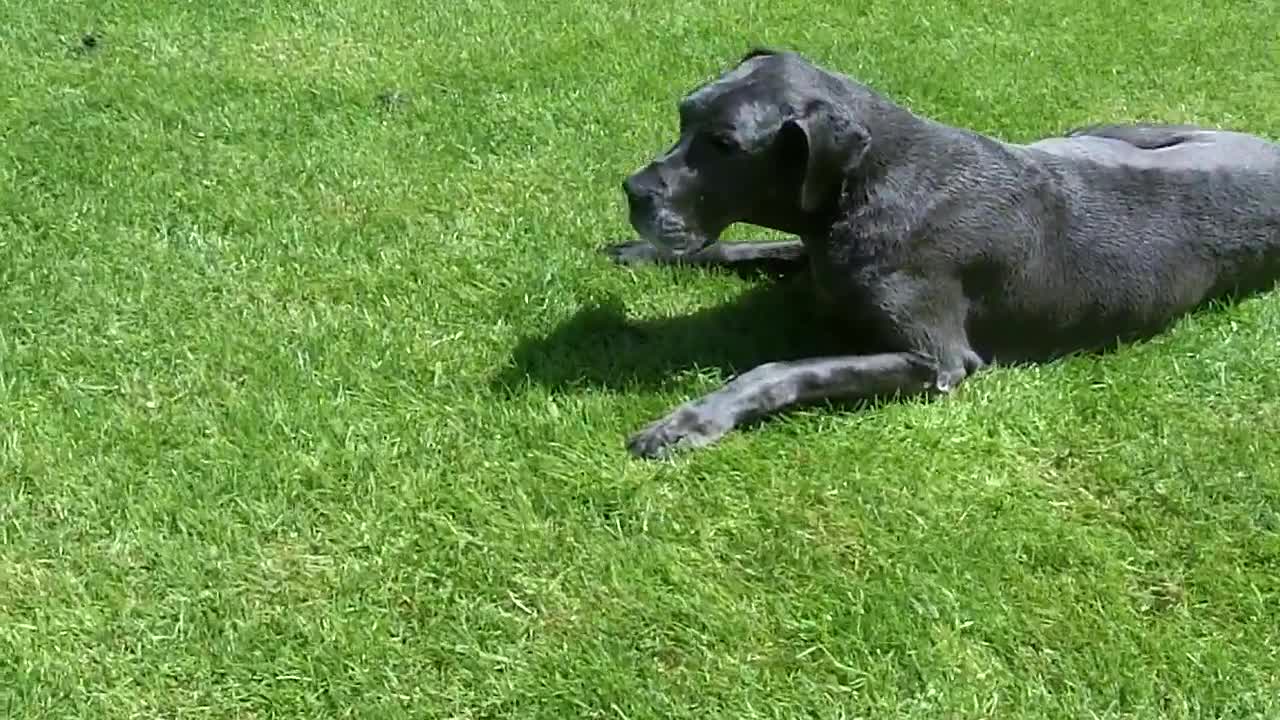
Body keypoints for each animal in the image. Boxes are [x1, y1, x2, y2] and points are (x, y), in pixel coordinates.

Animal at [601, 47, 1280, 456]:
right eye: (684, 113)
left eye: (723, 144)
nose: (633, 191)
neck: (866, 182)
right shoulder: (814, 254)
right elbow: (751, 246)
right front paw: (645, 253)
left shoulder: (937, 360)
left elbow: (782, 368)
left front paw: (690, 421)